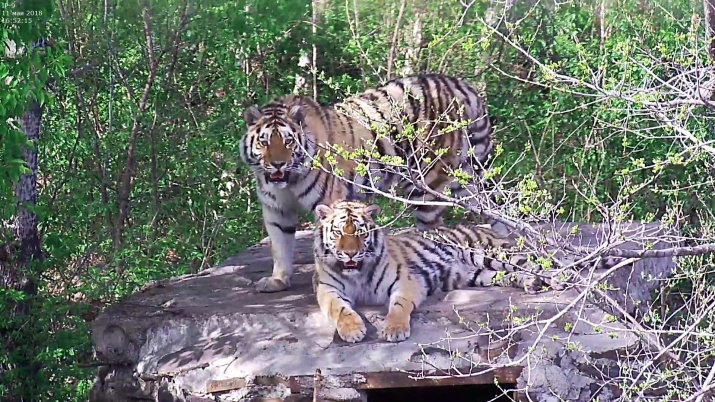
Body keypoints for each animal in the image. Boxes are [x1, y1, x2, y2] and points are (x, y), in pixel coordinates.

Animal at [239, 73, 492, 292]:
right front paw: (277, 280)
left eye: (289, 141)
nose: (278, 164)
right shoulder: (276, 209)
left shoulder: (329, 202)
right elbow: (279, 245)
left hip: (428, 183)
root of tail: (459, 84)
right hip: (465, 176)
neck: (289, 181)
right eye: (264, 142)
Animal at [314, 200, 628, 342]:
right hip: (482, 273)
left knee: (547, 267)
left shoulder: (405, 280)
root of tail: (490, 229)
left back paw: (560, 282)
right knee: (520, 275)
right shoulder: (327, 287)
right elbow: (339, 309)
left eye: (360, 233)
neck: (357, 272)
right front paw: (353, 330)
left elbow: (399, 306)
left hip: (497, 255)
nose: (350, 253)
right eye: (339, 232)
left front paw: (394, 329)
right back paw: (531, 285)